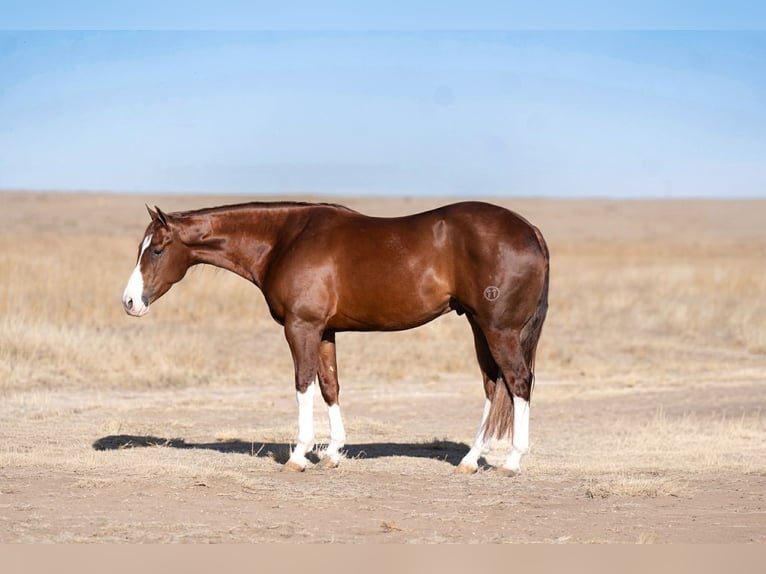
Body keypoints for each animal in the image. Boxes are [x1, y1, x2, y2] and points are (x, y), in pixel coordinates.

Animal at [122, 201, 549, 476]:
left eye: (156, 250)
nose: (129, 302)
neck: (284, 240)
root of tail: (530, 230)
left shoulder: (301, 327)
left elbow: (303, 385)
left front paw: (299, 454)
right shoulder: (324, 331)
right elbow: (330, 386)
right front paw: (332, 453)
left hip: (499, 329)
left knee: (518, 382)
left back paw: (512, 461)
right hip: (480, 326)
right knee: (494, 386)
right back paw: (470, 460)